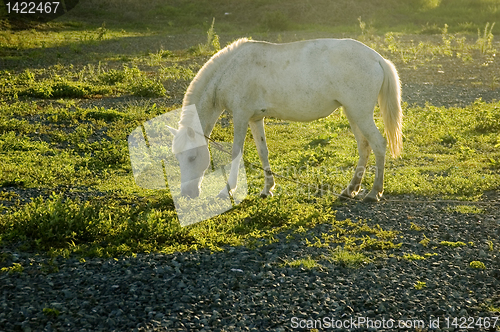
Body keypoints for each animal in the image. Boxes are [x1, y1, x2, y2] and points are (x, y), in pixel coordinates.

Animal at [168, 37, 402, 201]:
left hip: (360, 113)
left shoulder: (241, 115)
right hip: (353, 113)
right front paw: (267, 188)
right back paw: (350, 189)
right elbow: (262, 152)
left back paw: (374, 192)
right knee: (364, 147)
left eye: (191, 157)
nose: (187, 193)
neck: (231, 70)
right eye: (177, 157)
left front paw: (227, 190)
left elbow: (236, 152)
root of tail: (377, 58)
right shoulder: (254, 119)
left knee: (379, 144)